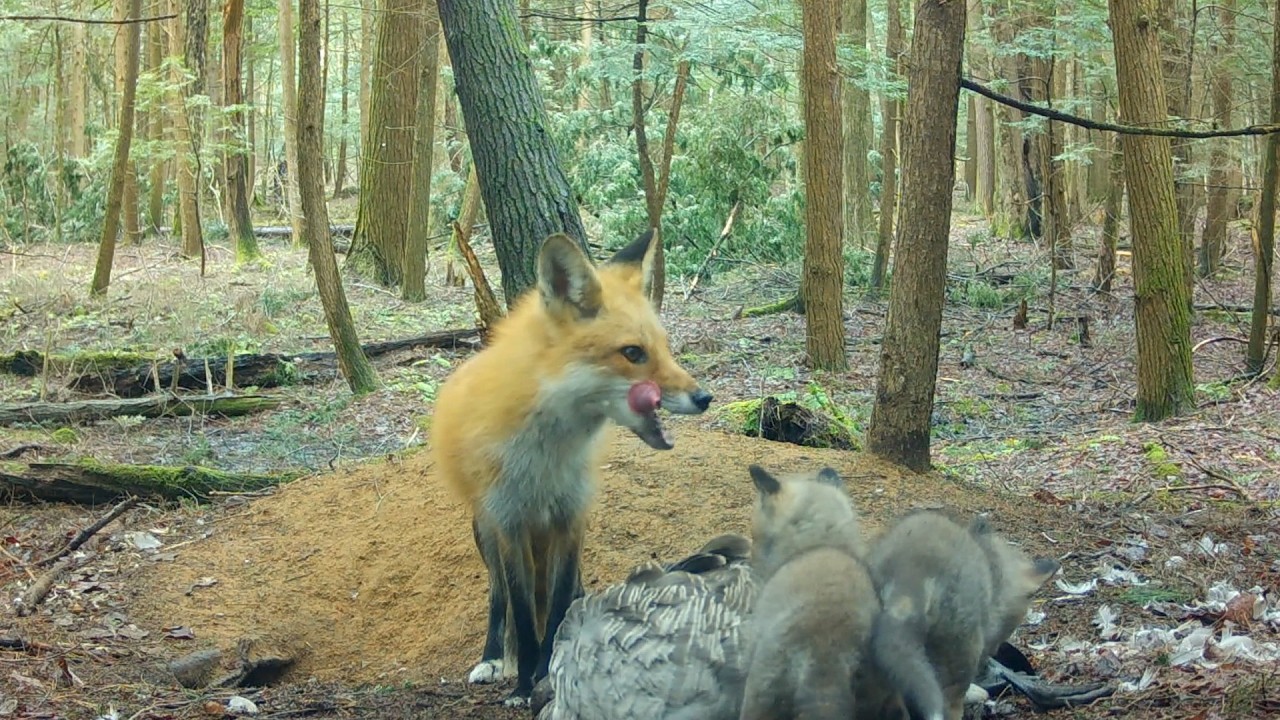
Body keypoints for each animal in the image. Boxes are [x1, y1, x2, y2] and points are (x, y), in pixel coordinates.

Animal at [429, 228, 714, 706]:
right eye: (632, 353)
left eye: (665, 349)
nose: (705, 398)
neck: (547, 457)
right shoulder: (510, 521)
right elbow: (523, 616)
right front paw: (524, 685)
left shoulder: (571, 517)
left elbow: (559, 602)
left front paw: (550, 672)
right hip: (484, 529)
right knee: (498, 597)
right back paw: (494, 657)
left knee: (569, 594)